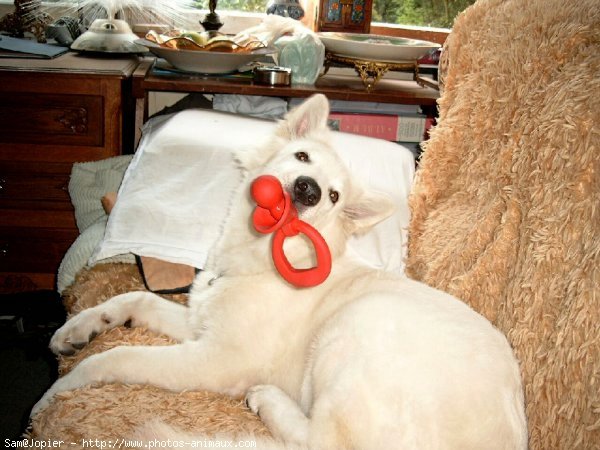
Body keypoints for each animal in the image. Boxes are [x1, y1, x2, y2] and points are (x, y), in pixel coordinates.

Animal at [34, 93, 528, 448]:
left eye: (333, 197)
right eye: (303, 157)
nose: (308, 190)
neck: (261, 262)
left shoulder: (214, 361)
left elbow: (118, 356)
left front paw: (60, 390)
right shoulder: (200, 323)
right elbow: (133, 297)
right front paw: (76, 331)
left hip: (351, 329)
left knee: (324, 441)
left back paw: (268, 400)